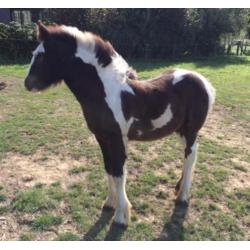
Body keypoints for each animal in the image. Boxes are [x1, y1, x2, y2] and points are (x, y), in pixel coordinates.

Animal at [24, 22, 215, 227]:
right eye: (33, 53)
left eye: (41, 56)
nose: (27, 83)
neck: (104, 92)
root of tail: (202, 81)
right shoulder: (101, 137)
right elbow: (108, 168)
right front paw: (109, 203)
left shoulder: (117, 139)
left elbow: (118, 172)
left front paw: (121, 217)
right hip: (179, 130)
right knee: (188, 155)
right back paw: (178, 189)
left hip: (191, 130)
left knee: (190, 156)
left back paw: (183, 196)